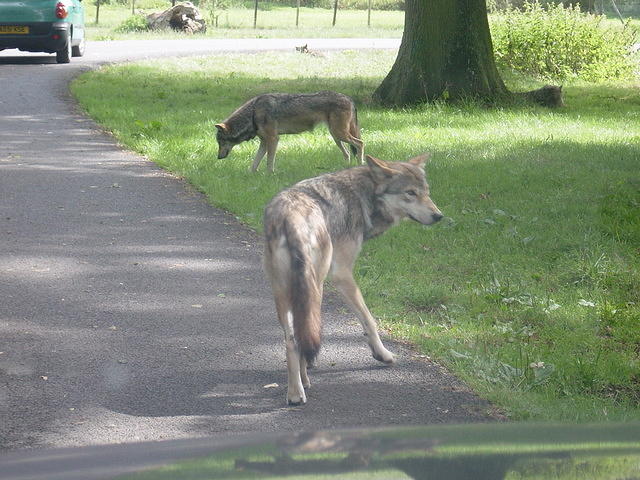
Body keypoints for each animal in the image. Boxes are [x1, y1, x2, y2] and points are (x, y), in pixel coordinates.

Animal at [215, 90, 362, 172]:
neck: (253, 112)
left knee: (360, 143)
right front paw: (250, 175)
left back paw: (361, 165)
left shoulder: (273, 139)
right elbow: (254, 164)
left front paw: (270, 175)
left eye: (220, 142)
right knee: (348, 153)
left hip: (340, 134)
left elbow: (269, 162)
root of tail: (349, 98)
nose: (218, 157)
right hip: (336, 136)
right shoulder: (264, 142)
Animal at [262, 154, 442, 404]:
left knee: (292, 339)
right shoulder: (343, 274)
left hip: (284, 293)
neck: (363, 197)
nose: (439, 216)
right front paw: (383, 354)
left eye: (426, 192)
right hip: (316, 286)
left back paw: (296, 391)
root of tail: (290, 216)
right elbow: (369, 320)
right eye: (410, 193)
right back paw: (304, 382)